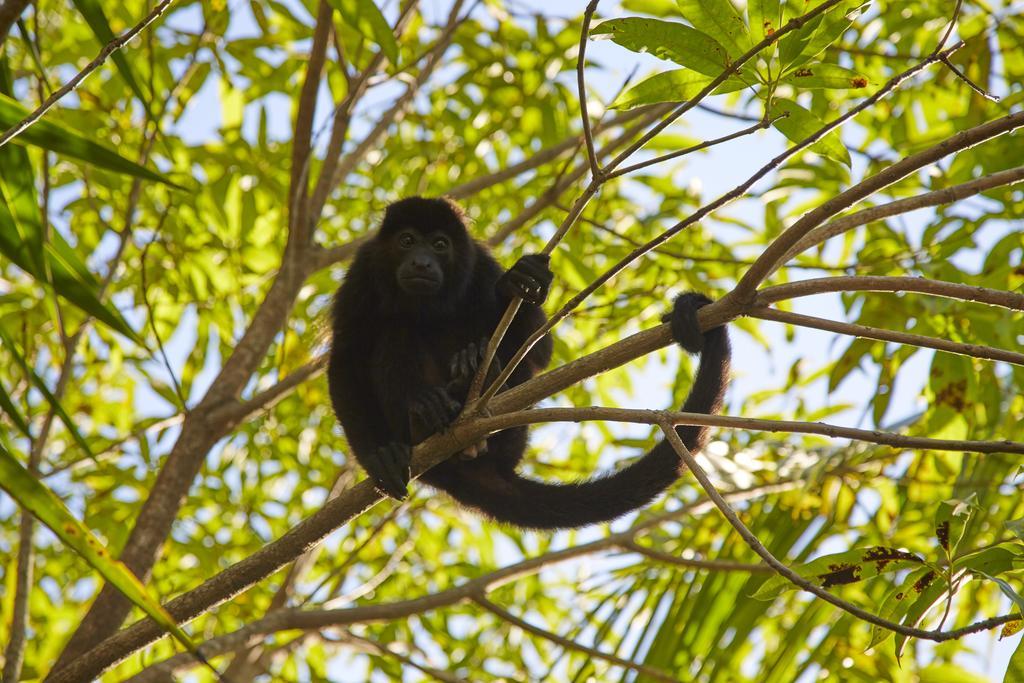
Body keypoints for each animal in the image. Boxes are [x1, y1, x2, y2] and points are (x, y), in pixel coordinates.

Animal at [327, 197, 729, 528]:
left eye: (440, 245)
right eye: (407, 241)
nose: (422, 262)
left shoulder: (481, 266)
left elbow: (539, 350)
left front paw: (516, 285)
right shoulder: (362, 272)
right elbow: (345, 359)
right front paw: (379, 455)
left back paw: (473, 373)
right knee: (395, 333)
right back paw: (424, 413)